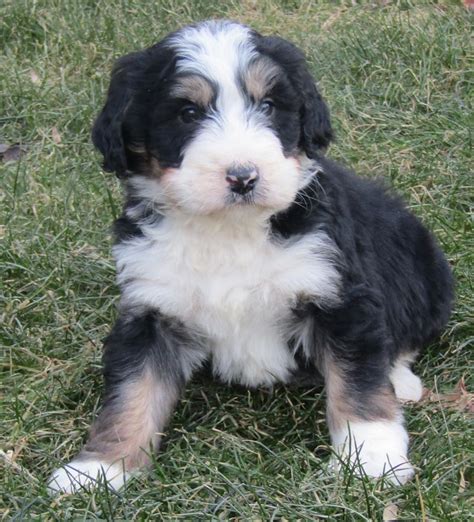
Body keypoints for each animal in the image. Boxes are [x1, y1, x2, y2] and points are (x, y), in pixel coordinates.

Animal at [48, 20, 452, 492]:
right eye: (188, 113)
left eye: (270, 106)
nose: (243, 177)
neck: (229, 229)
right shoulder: (151, 309)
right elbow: (132, 393)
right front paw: (99, 469)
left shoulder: (339, 297)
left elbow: (358, 381)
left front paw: (372, 457)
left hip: (424, 270)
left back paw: (401, 380)